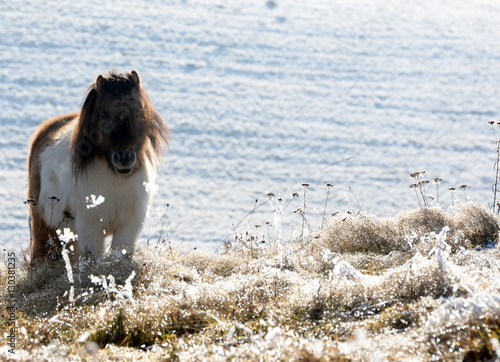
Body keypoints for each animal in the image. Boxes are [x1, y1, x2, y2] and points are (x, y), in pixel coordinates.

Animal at [26, 70, 168, 264]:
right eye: (104, 115)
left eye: (139, 111)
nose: (124, 158)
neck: (115, 179)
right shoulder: (91, 227)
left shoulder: (128, 226)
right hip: (45, 224)